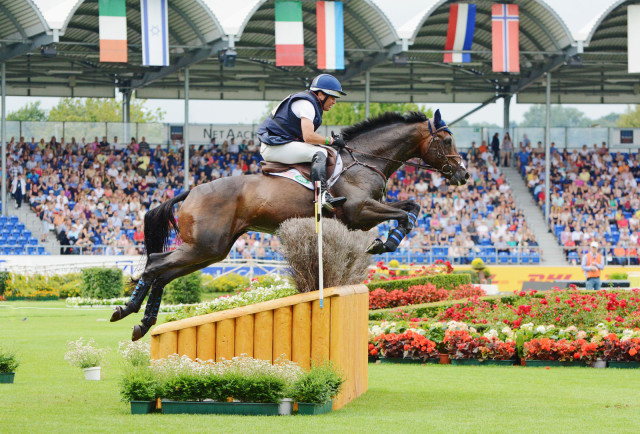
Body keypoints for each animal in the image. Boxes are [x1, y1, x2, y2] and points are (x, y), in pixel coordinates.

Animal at [111, 108, 470, 340]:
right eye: (447, 140)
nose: (464, 175)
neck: (364, 160)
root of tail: (192, 190)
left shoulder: (371, 209)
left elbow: (411, 206)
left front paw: (388, 240)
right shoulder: (359, 212)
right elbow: (406, 213)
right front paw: (387, 242)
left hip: (211, 250)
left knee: (162, 272)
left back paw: (142, 323)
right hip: (204, 246)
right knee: (155, 265)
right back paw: (127, 310)